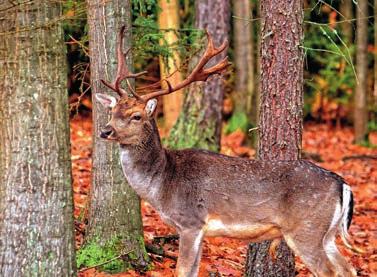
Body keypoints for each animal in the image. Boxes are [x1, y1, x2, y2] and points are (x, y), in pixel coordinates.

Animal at [94, 26, 358, 276]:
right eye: (112, 112)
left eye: (136, 116)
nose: (105, 131)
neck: (162, 183)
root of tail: (342, 184)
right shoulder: (198, 230)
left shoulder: (191, 221)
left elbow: (182, 271)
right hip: (327, 234)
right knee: (348, 269)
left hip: (306, 229)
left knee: (329, 271)